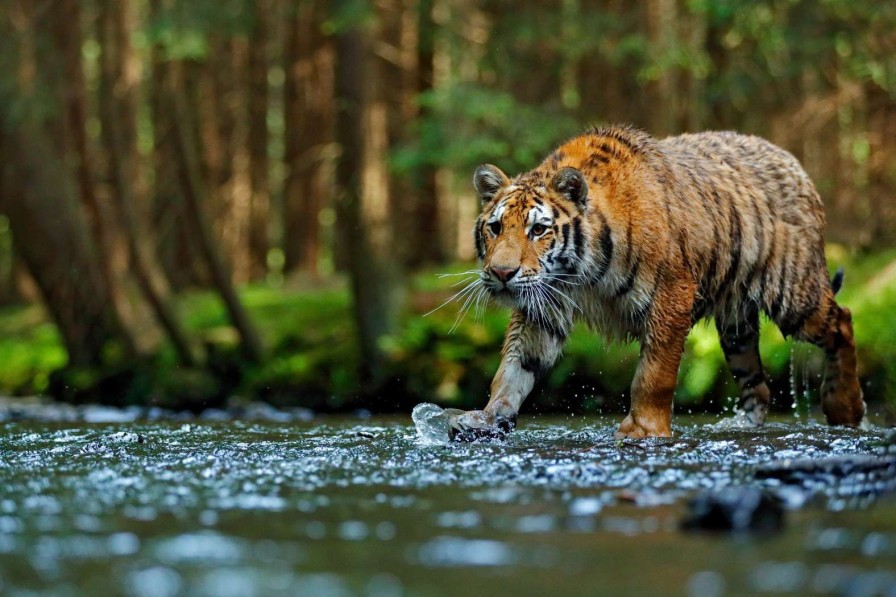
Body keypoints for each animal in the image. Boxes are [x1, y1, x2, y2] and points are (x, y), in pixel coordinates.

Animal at [448, 123, 868, 440]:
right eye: (495, 227)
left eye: (538, 230)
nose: (502, 273)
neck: (579, 275)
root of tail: (794, 162)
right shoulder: (545, 305)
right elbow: (513, 369)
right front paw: (487, 418)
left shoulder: (671, 294)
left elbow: (654, 374)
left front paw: (644, 430)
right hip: (737, 327)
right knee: (758, 384)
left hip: (794, 293)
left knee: (843, 320)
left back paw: (845, 407)